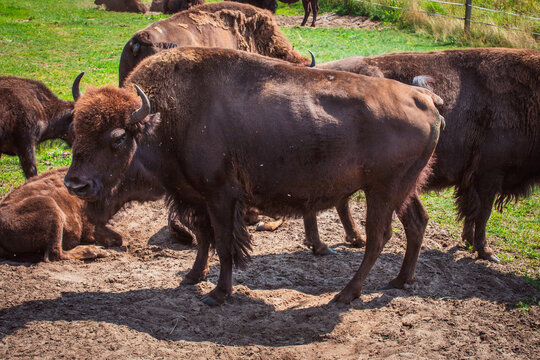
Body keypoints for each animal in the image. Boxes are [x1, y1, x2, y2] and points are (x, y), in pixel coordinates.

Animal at [65, 46, 442, 306]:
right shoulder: (196, 197)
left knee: (379, 237)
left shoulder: (221, 196)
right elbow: (204, 238)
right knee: (416, 223)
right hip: (404, 190)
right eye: (76, 129)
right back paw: (400, 281)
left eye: (117, 138)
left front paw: (218, 294)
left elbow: (225, 244)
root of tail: (423, 97)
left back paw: (345, 294)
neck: (165, 118)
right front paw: (193, 277)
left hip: (382, 191)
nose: (74, 183)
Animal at [318, 47, 540, 262]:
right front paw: (486, 252)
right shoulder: (490, 173)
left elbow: (473, 211)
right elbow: (483, 213)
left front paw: (469, 241)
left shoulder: (475, 179)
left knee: (341, 201)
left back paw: (355, 239)